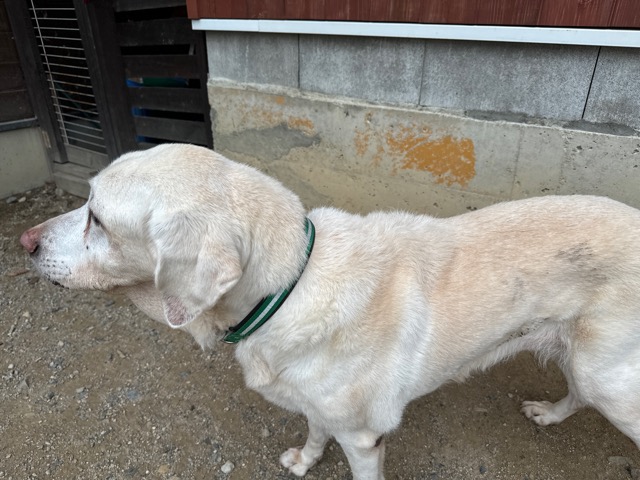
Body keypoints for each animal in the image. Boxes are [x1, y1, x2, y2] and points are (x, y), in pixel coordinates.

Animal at [20, 144, 640, 479]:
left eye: (97, 219)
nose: (24, 241)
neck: (289, 285)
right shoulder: (315, 401)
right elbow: (315, 430)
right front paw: (305, 459)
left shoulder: (365, 438)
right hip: (589, 362)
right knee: (577, 391)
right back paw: (550, 415)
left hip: (610, 377)